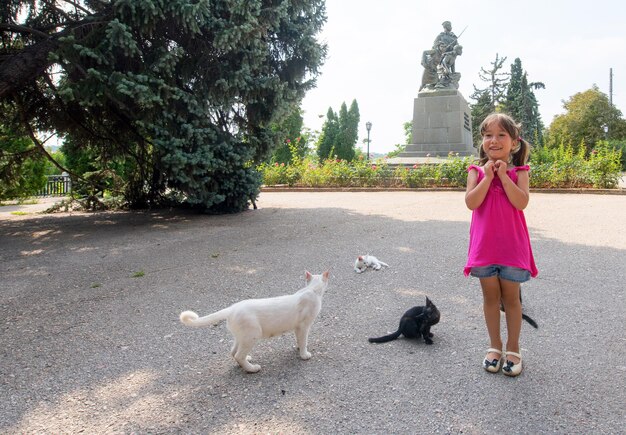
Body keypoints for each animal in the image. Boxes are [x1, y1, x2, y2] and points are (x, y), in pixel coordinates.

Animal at [179, 270, 330, 372]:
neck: (311, 289)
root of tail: (232, 308)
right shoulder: (304, 326)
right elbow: (304, 341)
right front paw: (304, 354)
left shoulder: (298, 328)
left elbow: (299, 340)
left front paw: (298, 348)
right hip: (252, 335)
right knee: (238, 355)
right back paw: (252, 368)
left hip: (242, 337)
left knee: (233, 352)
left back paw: (247, 361)